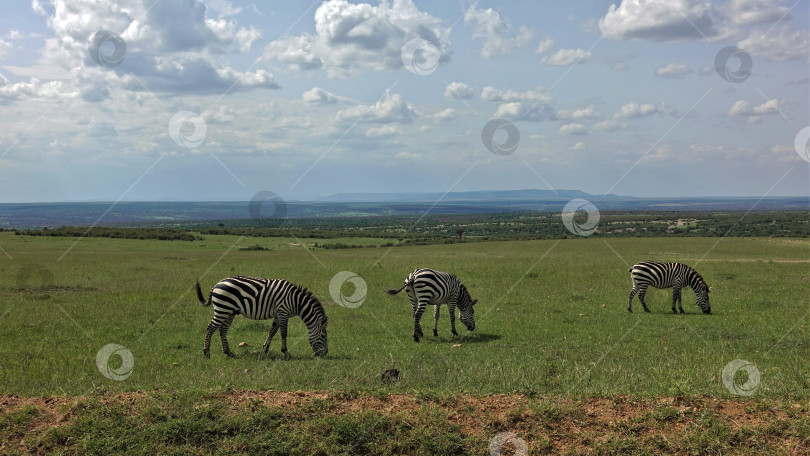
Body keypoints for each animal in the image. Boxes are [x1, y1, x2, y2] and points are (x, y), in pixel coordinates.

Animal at [194, 276, 326, 358]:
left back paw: (228, 353)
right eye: (324, 336)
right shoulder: (283, 312)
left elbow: (272, 331)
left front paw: (265, 349)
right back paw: (206, 352)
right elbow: (284, 333)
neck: (296, 301)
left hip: (229, 312)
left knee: (222, 330)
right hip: (223, 309)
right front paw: (286, 352)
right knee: (210, 327)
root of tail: (216, 285)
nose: (325, 354)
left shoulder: (278, 314)